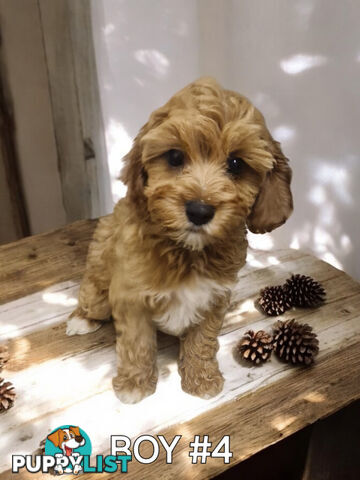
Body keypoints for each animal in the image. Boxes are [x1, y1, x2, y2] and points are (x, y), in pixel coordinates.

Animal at [67, 78, 292, 402]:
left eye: (236, 163)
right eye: (174, 157)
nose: (199, 211)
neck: (188, 251)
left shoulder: (215, 297)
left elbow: (202, 340)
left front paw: (202, 379)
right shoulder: (131, 297)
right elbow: (137, 344)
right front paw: (135, 385)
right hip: (99, 278)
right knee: (90, 296)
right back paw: (80, 319)